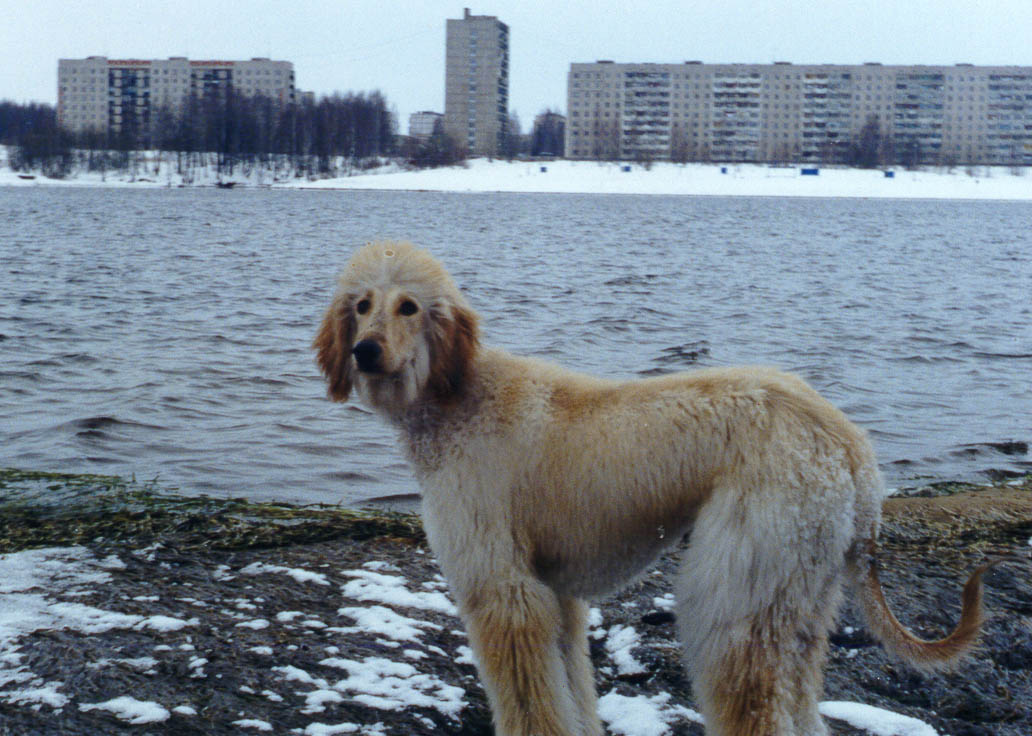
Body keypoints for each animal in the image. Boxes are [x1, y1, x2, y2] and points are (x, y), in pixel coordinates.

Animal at [313, 242, 990, 734]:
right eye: (361, 305)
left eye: (409, 307)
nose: (365, 352)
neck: (460, 398)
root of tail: (852, 445)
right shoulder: (555, 594)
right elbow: (570, 687)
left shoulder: (502, 587)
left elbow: (529, 696)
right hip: (800, 593)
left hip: (739, 587)